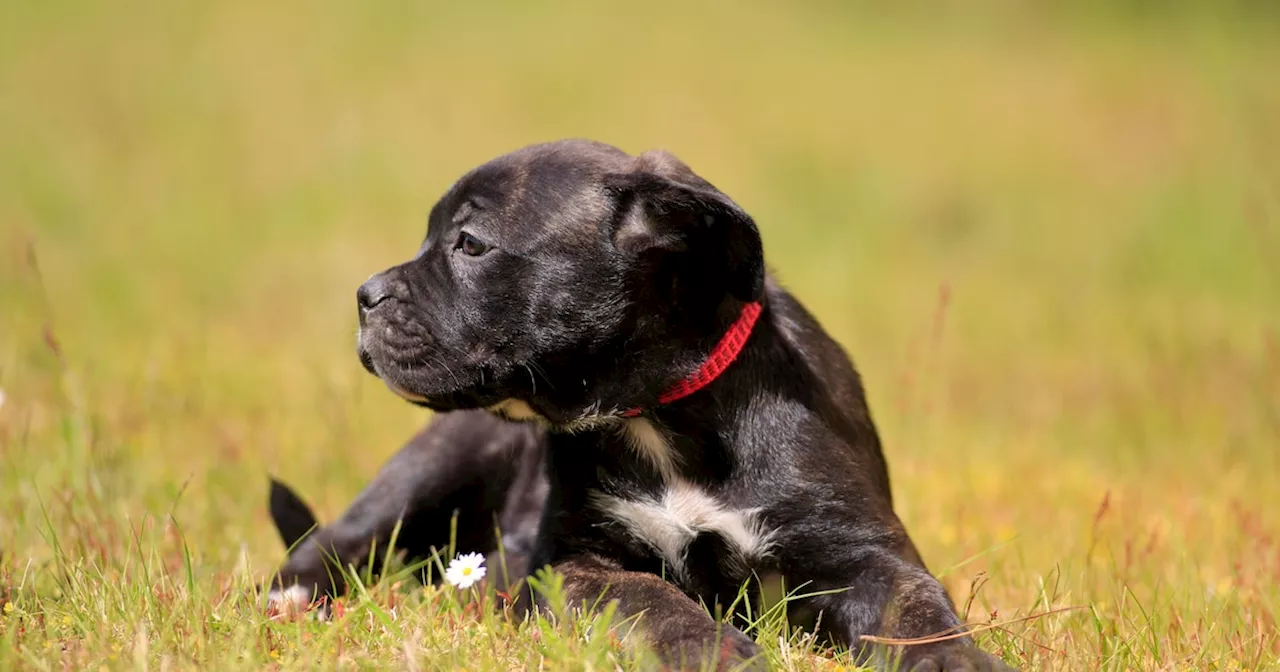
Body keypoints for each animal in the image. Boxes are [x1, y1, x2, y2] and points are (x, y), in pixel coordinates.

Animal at [355, 138, 1013, 665]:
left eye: (469, 244)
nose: (365, 295)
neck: (658, 412)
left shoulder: (865, 552)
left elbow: (915, 612)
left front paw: (955, 660)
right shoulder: (573, 564)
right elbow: (650, 599)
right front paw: (712, 648)